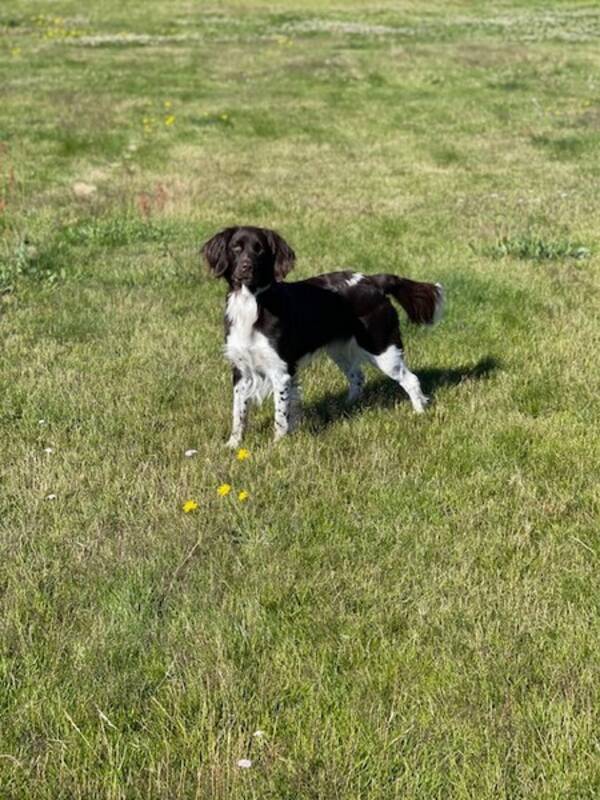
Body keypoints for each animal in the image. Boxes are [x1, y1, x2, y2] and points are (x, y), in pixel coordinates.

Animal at [202, 225, 440, 446]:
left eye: (259, 250)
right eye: (236, 248)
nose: (246, 267)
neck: (251, 303)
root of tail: (373, 281)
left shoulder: (281, 371)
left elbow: (280, 414)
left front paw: (278, 444)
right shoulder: (241, 369)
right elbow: (239, 412)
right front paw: (233, 444)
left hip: (382, 348)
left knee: (410, 379)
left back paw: (419, 412)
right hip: (340, 350)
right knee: (357, 377)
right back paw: (347, 407)